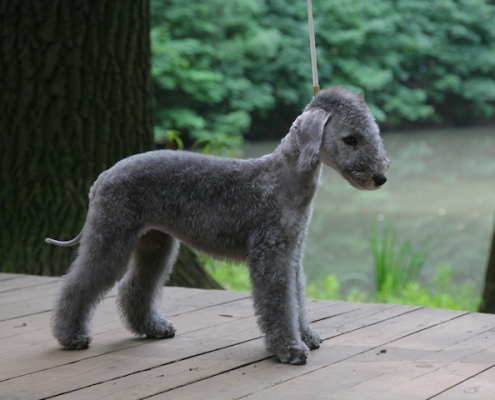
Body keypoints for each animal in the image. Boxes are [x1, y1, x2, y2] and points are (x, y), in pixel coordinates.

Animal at [44, 86, 390, 364]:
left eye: (372, 135)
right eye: (350, 139)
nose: (380, 178)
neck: (282, 178)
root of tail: (102, 177)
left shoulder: (292, 254)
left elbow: (297, 298)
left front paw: (306, 336)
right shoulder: (271, 254)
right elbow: (279, 302)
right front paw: (289, 349)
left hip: (155, 243)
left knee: (135, 286)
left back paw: (154, 328)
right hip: (112, 235)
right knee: (77, 284)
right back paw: (71, 336)